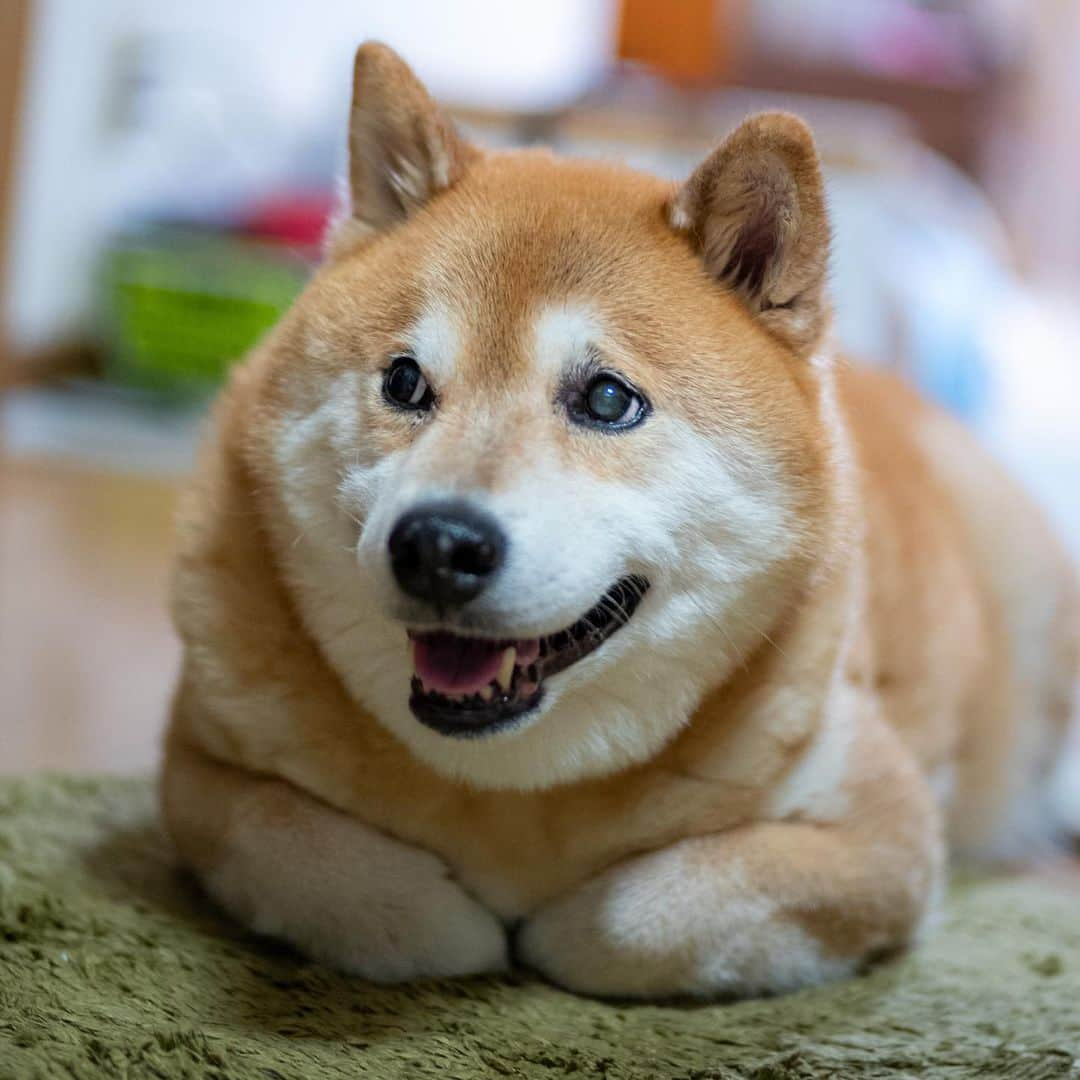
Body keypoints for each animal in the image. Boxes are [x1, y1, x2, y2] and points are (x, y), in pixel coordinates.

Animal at [162, 44, 1080, 1002]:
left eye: (606, 400)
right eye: (404, 382)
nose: (438, 545)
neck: (514, 786)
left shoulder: (886, 836)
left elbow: (633, 915)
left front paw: (554, 932)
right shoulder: (200, 772)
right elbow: (336, 874)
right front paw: (449, 921)